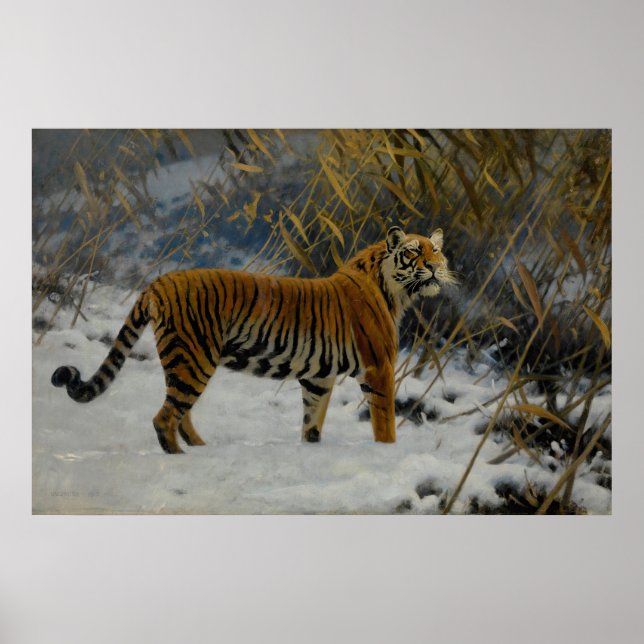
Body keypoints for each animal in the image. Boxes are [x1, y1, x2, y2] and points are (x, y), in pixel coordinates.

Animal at [51, 226, 456, 453]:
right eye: (415, 251)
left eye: (437, 250)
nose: (436, 267)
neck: (396, 291)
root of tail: (160, 281)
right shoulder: (379, 367)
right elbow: (385, 424)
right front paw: (387, 452)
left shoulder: (318, 378)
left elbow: (312, 422)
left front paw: (311, 451)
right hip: (195, 359)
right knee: (165, 418)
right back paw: (182, 458)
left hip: (183, 361)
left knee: (179, 413)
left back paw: (201, 449)